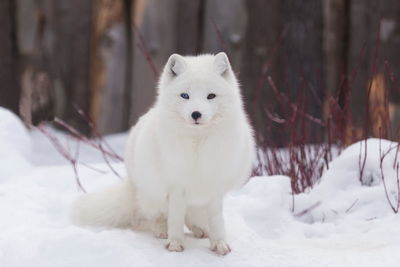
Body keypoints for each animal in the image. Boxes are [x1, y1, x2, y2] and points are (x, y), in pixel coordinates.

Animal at [72, 51, 256, 255]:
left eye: (211, 96)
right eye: (185, 95)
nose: (196, 114)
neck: (197, 145)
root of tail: (132, 182)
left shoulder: (214, 187)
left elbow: (216, 220)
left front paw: (219, 243)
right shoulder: (176, 186)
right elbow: (175, 218)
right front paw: (175, 243)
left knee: (191, 217)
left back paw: (200, 230)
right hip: (152, 193)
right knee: (156, 216)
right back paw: (162, 231)